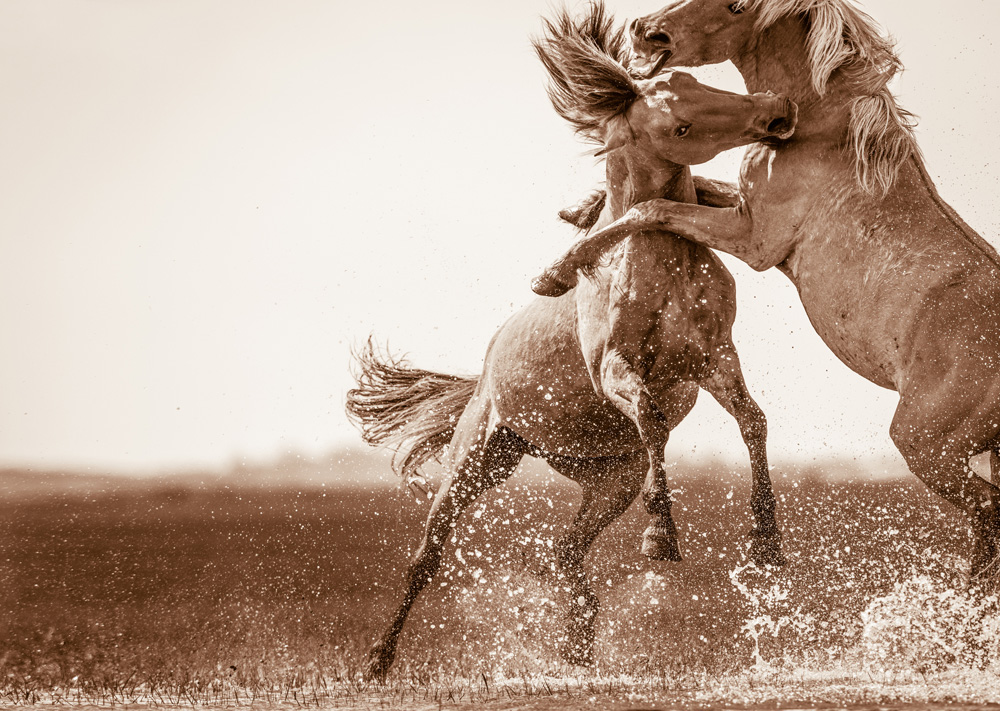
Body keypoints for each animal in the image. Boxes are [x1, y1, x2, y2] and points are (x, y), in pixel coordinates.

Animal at [344, 2, 796, 680]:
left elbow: (753, 420)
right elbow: (653, 415)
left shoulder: (714, 357)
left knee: (564, 550)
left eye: (694, 81)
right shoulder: (617, 366)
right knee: (426, 556)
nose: (777, 110)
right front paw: (661, 535)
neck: (656, 259)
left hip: (608, 480)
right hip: (476, 460)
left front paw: (765, 541)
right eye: (682, 124)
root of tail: (483, 377)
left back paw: (578, 645)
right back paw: (378, 659)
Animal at [532, 0, 1000, 584]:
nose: (647, 31)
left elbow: (651, 208)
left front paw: (555, 273)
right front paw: (579, 211)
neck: (824, 125)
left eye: (736, 7)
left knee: (987, 516)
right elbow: (691, 191)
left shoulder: (753, 239)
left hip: (928, 447)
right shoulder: (740, 211)